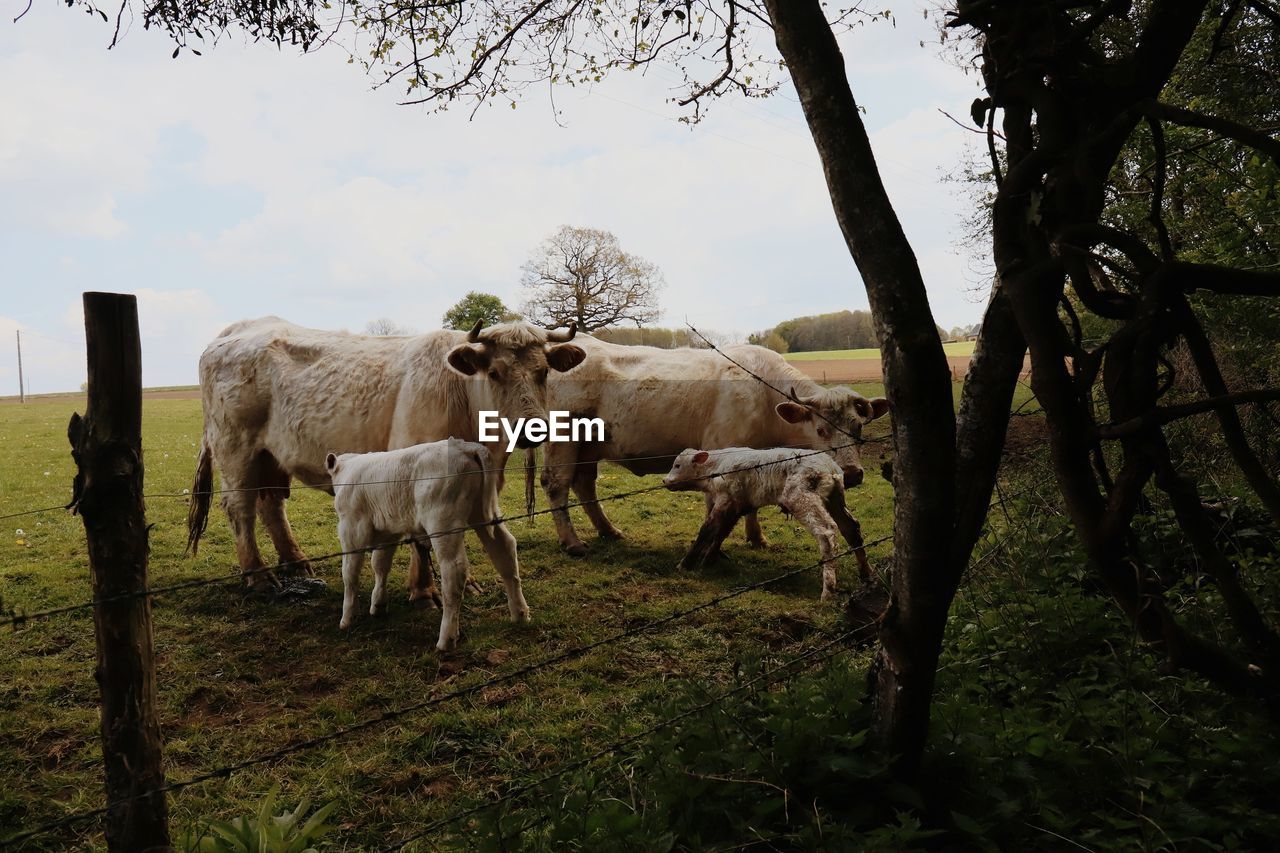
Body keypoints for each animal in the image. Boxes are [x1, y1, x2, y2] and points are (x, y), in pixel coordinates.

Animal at [186, 315, 586, 594]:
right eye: (494, 372)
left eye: (543, 372)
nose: (532, 427)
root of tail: (239, 328)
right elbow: (420, 535)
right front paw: (424, 589)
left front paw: (465, 584)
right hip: (235, 447)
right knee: (240, 507)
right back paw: (258, 576)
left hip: (272, 454)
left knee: (270, 504)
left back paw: (295, 562)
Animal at [327, 438, 532, 650]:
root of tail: (465, 447)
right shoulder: (389, 532)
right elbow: (381, 565)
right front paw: (378, 605)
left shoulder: (351, 528)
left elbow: (350, 573)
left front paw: (347, 617)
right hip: (483, 514)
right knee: (505, 552)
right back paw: (520, 614)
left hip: (443, 523)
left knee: (454, 572)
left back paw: (446, 639)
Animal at [535, 335, 885, 555]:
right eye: (821, 429)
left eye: (859, 427)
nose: (851, 473)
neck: (763, 397)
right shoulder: (720, 451)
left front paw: (757, 539)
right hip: (563, 438)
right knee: (557, 484)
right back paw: (573, 542)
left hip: (588, 447)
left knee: (584, 484)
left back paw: (609, 531)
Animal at [665, 445, 875, 596]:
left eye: (677, 465)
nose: (664, 481)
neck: (715, 468)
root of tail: (830, 468)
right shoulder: (736, 505)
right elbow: (721, 533)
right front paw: (708, 560)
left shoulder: (725, 501)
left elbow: (707, 531)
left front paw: (685, 564)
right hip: (835, 499)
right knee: (851, 528)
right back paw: (867, 575)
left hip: (803, 498)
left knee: (827, 532)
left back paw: (828, 590)